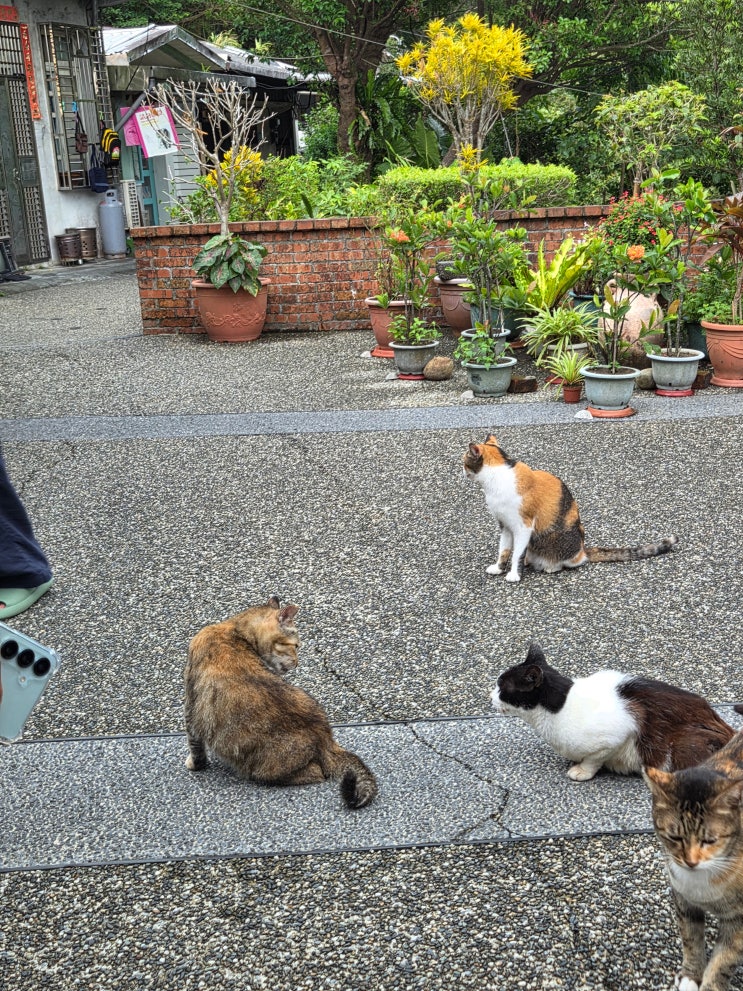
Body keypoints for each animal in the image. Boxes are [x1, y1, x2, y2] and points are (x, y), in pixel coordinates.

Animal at [183, 596, 377, 809]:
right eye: (296, 646)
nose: (297, 663)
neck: (233, 629)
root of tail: (325, 739)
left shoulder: (191, 708)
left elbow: (195, 746)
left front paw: (194, 765)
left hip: (264, 769)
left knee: (314, 773)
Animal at [464, 434, 678, 582]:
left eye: (464, 462)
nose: (462, 471)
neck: (496, 478)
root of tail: (583, 548)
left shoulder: (523, 526)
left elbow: (517, 553)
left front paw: (514, 574)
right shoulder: (505, 525)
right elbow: (504, 550)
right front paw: (499, 568)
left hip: (563, 541)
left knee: (573, 561)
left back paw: (551, 566)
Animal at [494, 643, 736, 782]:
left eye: (502, 687)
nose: (490, 695)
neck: (560, 706)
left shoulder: (616, 734)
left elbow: (593, 759)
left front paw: (582, 771)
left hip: (683, 747)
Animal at [644, 731, 743, 991]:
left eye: (710, 840)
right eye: (675, 837)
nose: (690, 861)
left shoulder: (740, 920)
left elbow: (724, 960)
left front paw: (710, 984)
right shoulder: (684, 899)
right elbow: (691, 938)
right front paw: (692, 975)